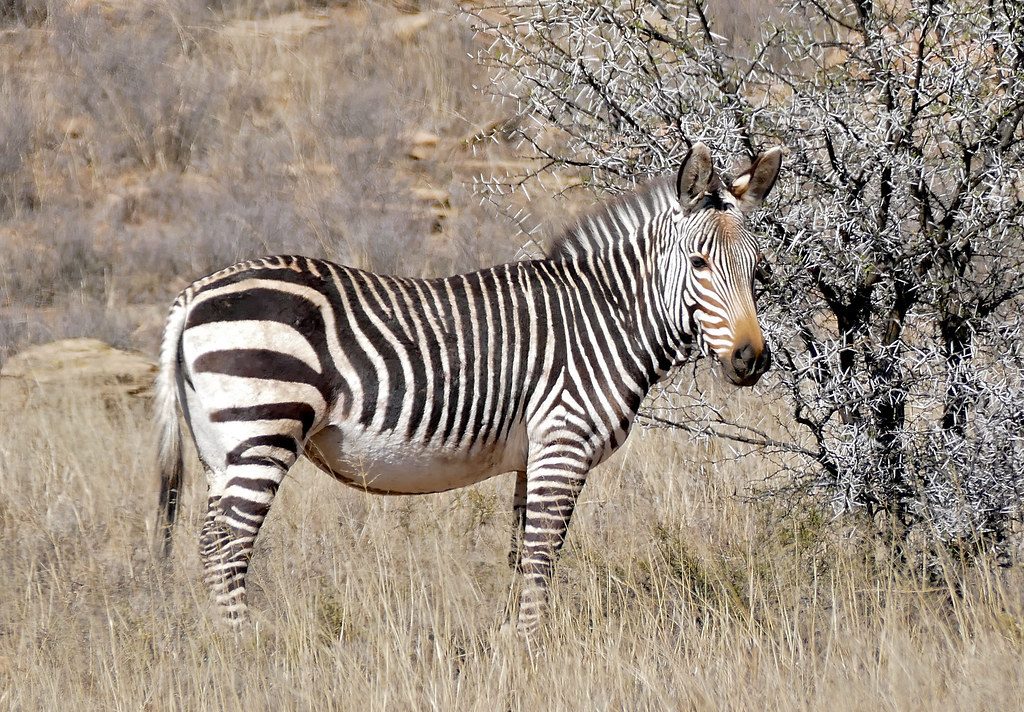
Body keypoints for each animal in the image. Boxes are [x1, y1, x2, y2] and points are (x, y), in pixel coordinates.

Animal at [154, 142, 781, 636]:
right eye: (699, 263)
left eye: (758, 268)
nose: (752, 360)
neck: (605, 316)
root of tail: (194, 293)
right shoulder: (563, 442)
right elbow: (542, 554)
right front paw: (532, 649)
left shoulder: (534, 455)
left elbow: (520, 554)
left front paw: (510, 643)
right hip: (262, 428)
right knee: (228, 548)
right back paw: (245, 648)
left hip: (221, 449)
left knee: (210, 544)